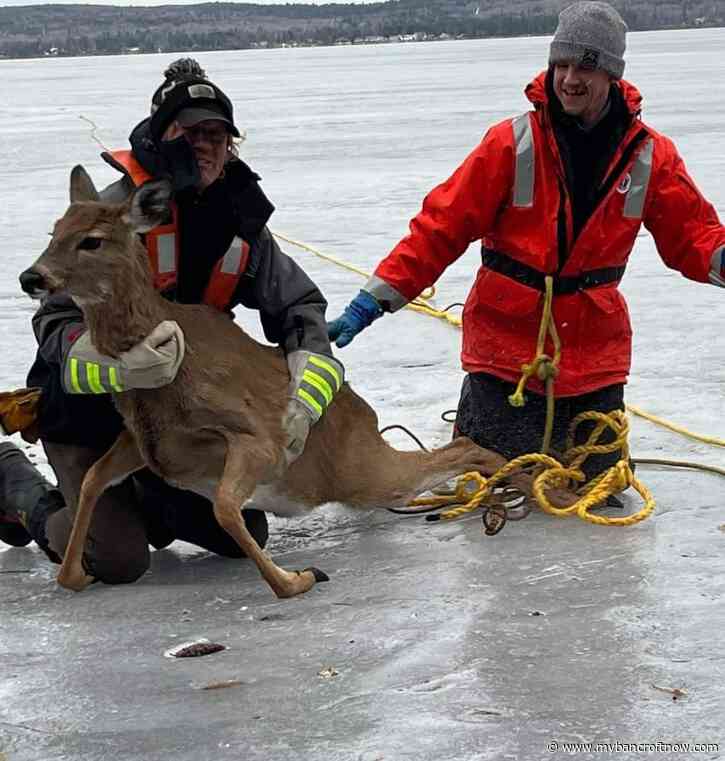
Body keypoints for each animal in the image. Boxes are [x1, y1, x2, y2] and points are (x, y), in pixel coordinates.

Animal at [20, 166, 576, 599]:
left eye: (92, 240)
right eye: (54, 229)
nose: (31, 277)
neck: (164, 376)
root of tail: (364, 412)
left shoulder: (259, 438)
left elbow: (226, 508)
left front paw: (296, 580)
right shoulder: (143, 440)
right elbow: (93, 480)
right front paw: (74, 575)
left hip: (363, 468)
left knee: (466, 446)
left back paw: (546, 488)